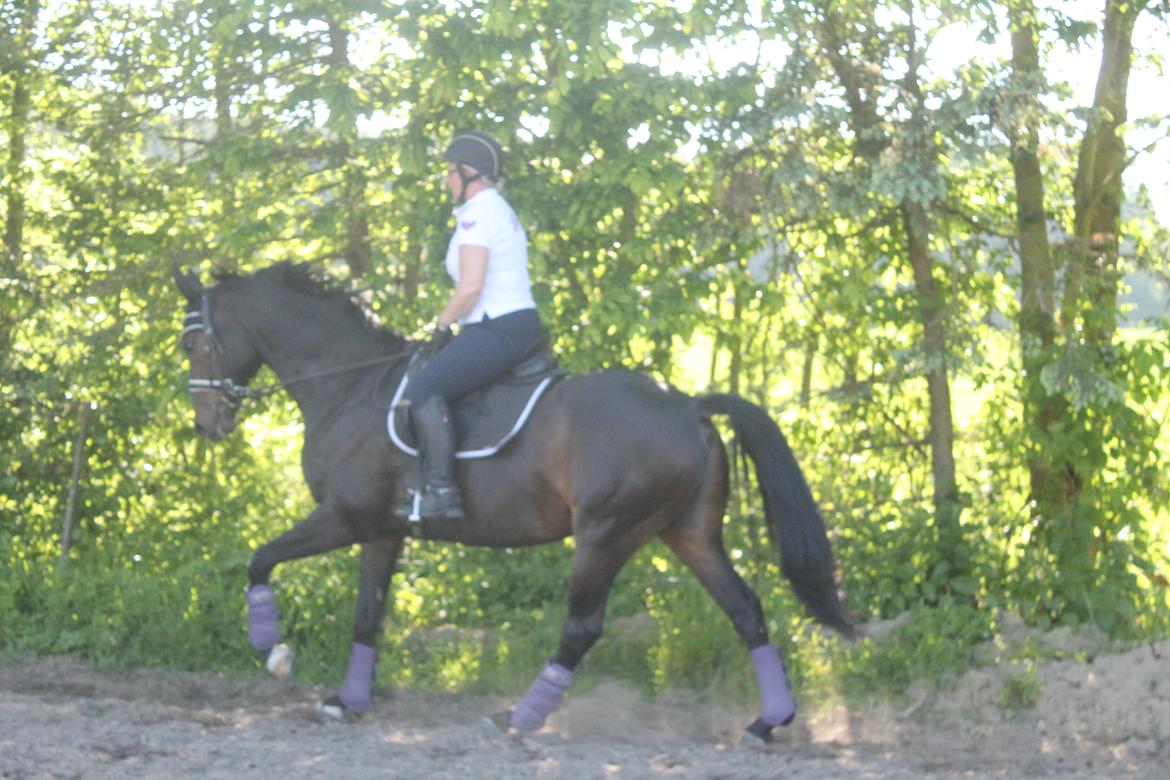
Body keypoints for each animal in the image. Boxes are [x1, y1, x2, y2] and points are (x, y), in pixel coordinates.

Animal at [170, 260, 851, 743]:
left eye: (192, 345)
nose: (208, 424)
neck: (350, 385)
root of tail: (687, 406)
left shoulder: (344, 517)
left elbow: (260, 560)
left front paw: (273, 652)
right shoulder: (382, 531)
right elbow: (368, 614)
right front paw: (347, 700)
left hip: (606, 533)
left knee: (581, 628)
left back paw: (518, 718)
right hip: (688, 533)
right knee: (745, 610)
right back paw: (766, 723)